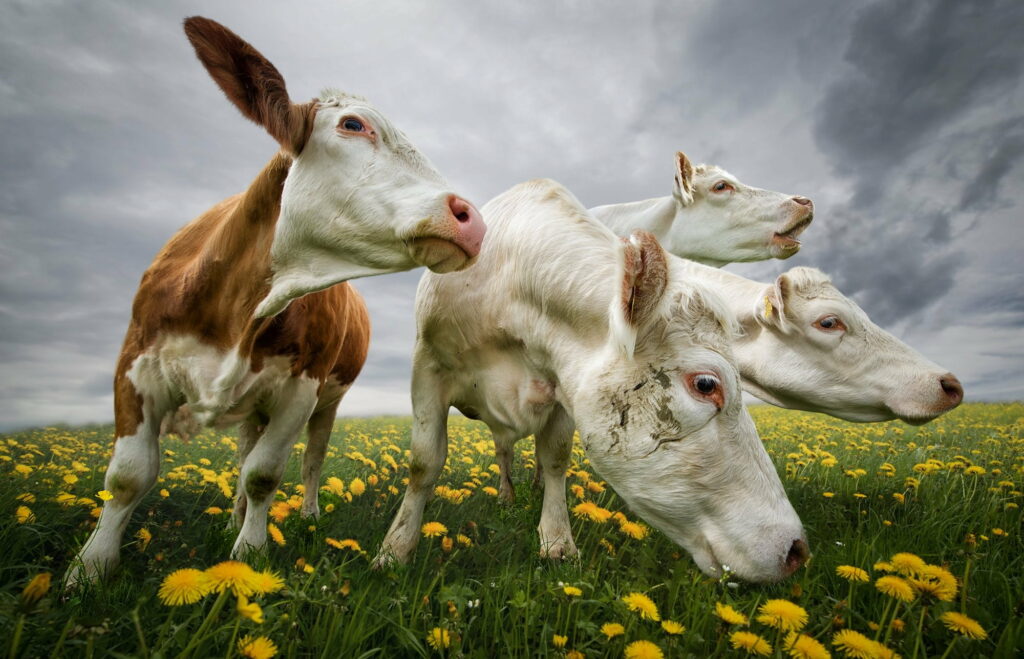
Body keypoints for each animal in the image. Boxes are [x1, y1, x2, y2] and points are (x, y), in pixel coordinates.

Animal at [66, 16, 485, 588]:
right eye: (353, 125)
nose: (472, 217)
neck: (234, 309)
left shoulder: (300, 389)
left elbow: (265, 473)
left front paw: (248, 553)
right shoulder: (134, 367)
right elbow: (129, 476)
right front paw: (89, 568)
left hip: (326, 402)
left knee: (310, 459)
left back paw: (302, 514)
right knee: (245, 448)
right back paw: (233, 517)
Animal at [374, 179, 809, 584]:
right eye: (705, 384)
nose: (797, 550)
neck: (508, 287)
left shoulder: (564, 386)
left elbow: (555, 458)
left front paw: (556, 540)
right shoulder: (427, 367)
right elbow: (424, 462)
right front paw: (395, 548)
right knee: (503, 452)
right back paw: (507, 495)